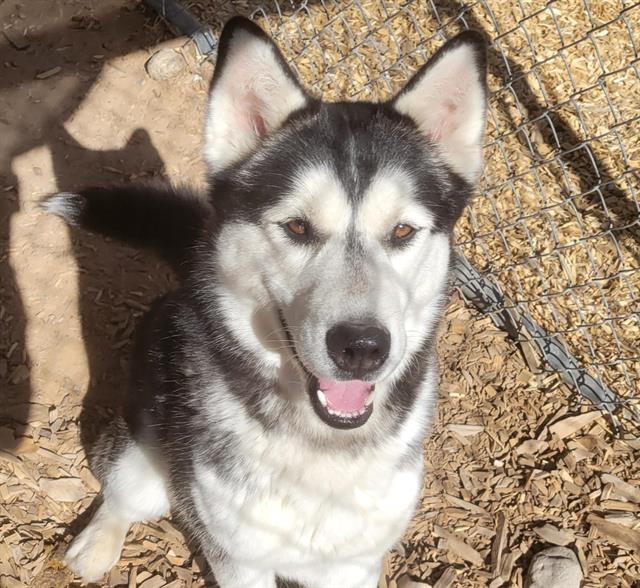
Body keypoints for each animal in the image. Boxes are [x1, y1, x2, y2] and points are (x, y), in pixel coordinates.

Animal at [43, 16, 484, 584]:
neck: (321, 447)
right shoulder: (239, 558)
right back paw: (97, 543)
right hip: (146, 464)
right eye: (297, 227)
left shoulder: (355, 563)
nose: (362, 348)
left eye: (403, 231)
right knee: (120, 494)